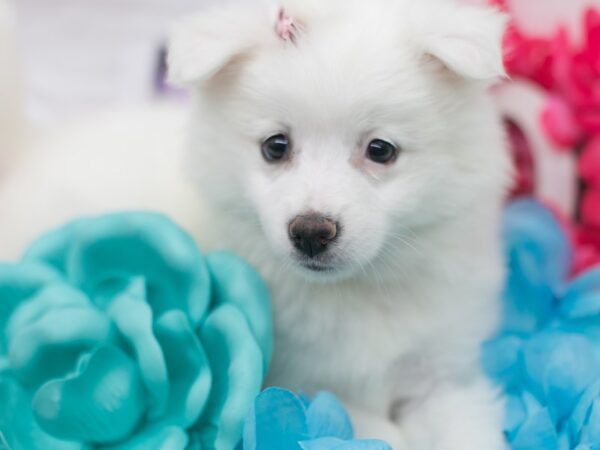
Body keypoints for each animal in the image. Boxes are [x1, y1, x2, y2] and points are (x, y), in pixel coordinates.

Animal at [0, 0, 510, 446]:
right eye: (276, 146)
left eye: (380, 150)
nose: (310, 232)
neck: (355, 292)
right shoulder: (298, 379)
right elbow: (368, 424)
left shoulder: (444, 371)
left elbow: (467, 429)